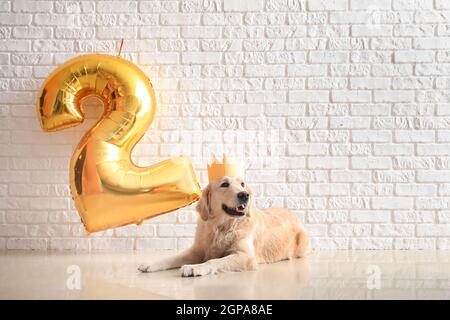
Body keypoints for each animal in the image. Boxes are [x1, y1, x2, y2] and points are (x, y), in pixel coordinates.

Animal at [141, 176, 310, 276]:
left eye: (242, 184)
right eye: (224, 184)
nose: (244, 194)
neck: (222, 227)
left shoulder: (245, 256)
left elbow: (214, 261)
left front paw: (195, 267)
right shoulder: (197, 251)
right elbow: (171, 257)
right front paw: (151, 263)